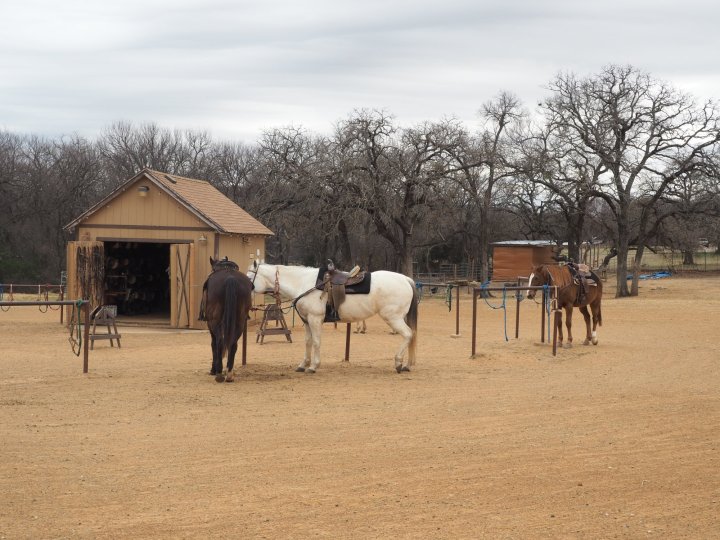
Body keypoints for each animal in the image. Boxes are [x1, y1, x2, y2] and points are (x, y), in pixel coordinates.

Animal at [249, 262, 420, 374]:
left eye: (250, 276)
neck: (304, 283)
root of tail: (406, 279)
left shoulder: (315, 319)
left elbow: (316, 342)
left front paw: (313, 366)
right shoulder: (307, 321)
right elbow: (308, 342)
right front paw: (303, 364)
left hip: (393, 318)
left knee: (408, 334)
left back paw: (398, 363)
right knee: (411, 336)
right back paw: (407, 365)